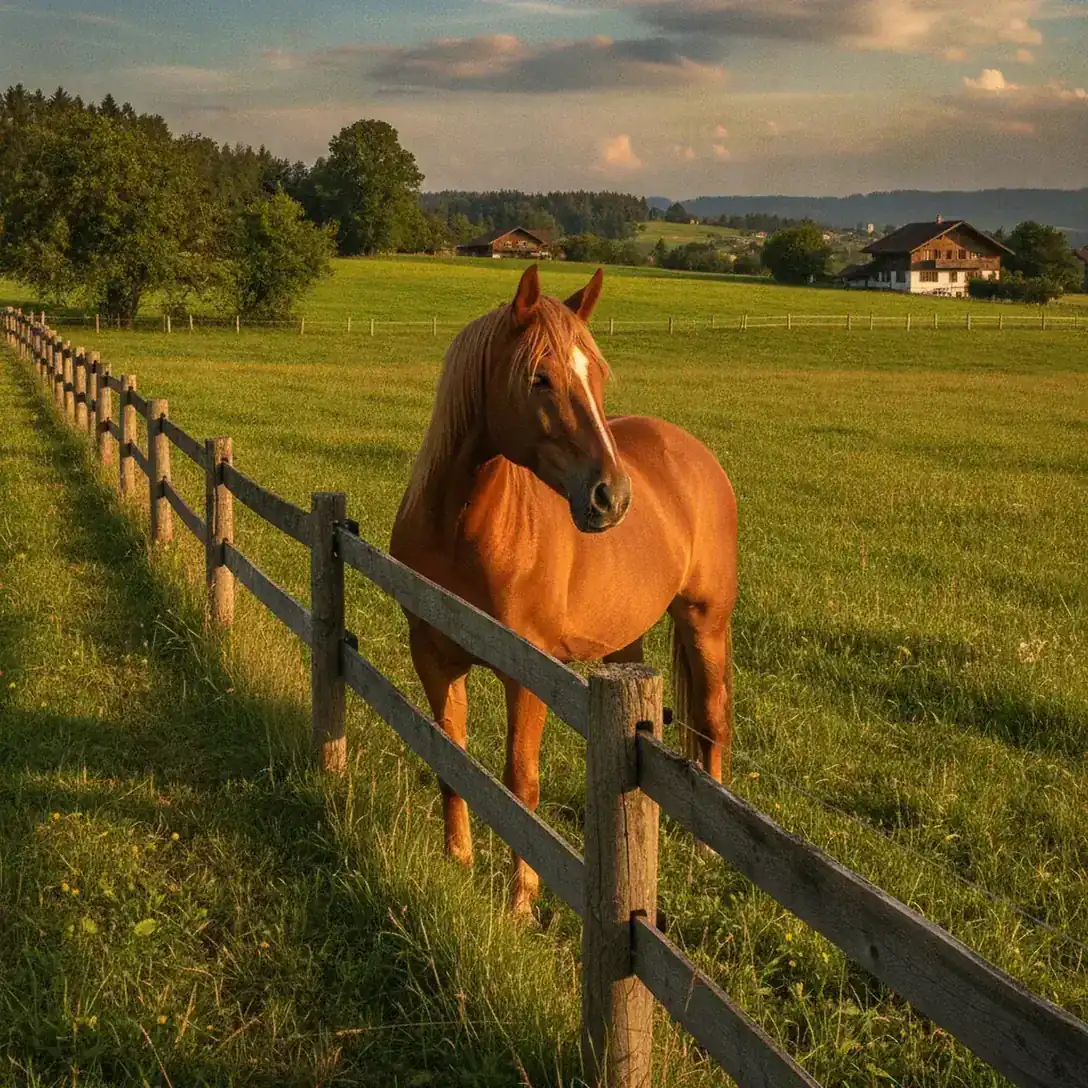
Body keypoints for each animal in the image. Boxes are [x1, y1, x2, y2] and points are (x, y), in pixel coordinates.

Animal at [389, 264, 738, 914]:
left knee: (712, 718)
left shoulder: (527, 672)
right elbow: (450, 754)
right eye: (540, 378)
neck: (462, 530)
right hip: (626, 641)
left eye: (596, 375)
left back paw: (707, 851)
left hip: (706, 621)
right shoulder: (432, 653)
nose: (612, 497)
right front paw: (458, 861)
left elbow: (520, 781)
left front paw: (521, 902)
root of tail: (695, 453)